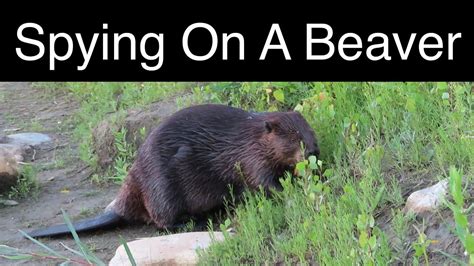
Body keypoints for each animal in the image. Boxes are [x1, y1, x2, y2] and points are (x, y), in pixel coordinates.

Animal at [27, 103, 320, 237]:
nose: (313, 151)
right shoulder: (249, 157)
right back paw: (197, 221)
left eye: (310, 129)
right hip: (162, 188)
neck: (251, 136)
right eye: (294, 136)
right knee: (162, 223)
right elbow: (263, 182)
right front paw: (290, 190)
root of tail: (119, 207)